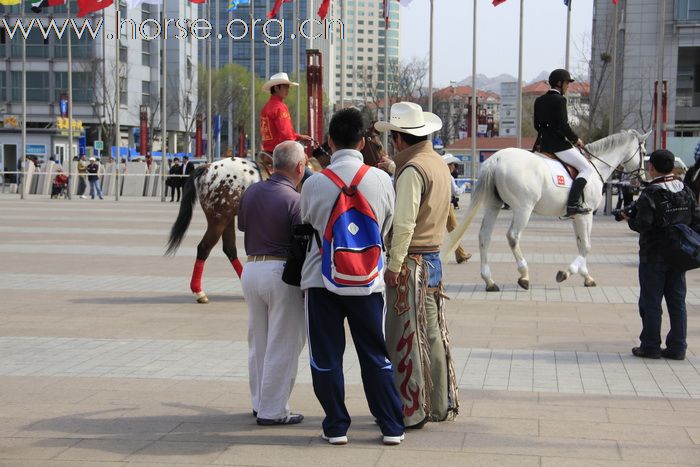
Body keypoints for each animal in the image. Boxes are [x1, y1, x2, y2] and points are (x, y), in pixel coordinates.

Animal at [165, 157, 262, 304]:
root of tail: (208, 166)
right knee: (204, 247)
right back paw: (199, 292)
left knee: (229, 249)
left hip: (228, 218)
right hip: (219, 219)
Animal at [442, 131, 652, 292]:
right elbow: (586, 246)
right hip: (523, 208)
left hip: (493, 206)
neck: (595, 167)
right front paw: (566, 273)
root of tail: (497, 159)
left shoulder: (577, 216)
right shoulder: (586, 215)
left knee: (484, 236)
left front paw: (586, 277)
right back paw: (524, 275)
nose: (642, 180)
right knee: (513, 236)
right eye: (643, 152)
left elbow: (580, 244)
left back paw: (489, 281)